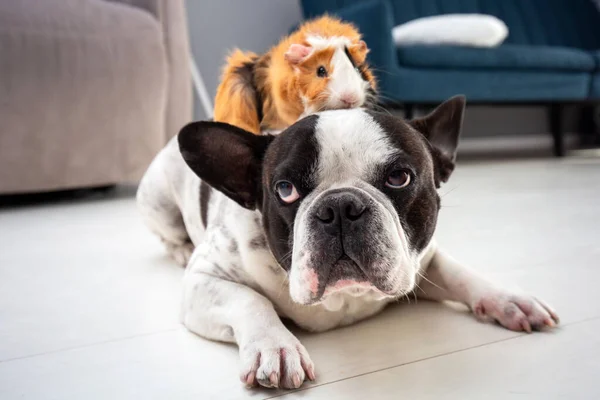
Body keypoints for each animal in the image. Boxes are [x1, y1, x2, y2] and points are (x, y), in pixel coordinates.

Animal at [136, 97, 556, 390]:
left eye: (400, 178)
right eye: (285, 190)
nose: (339, 207)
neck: (343, 299)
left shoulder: (420, 260)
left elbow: (460, 273)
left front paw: (508, 299)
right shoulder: (204, 279)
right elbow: (250, 300)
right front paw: (275, 347)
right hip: (157, 202)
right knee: (169, 233)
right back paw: (180, 248)